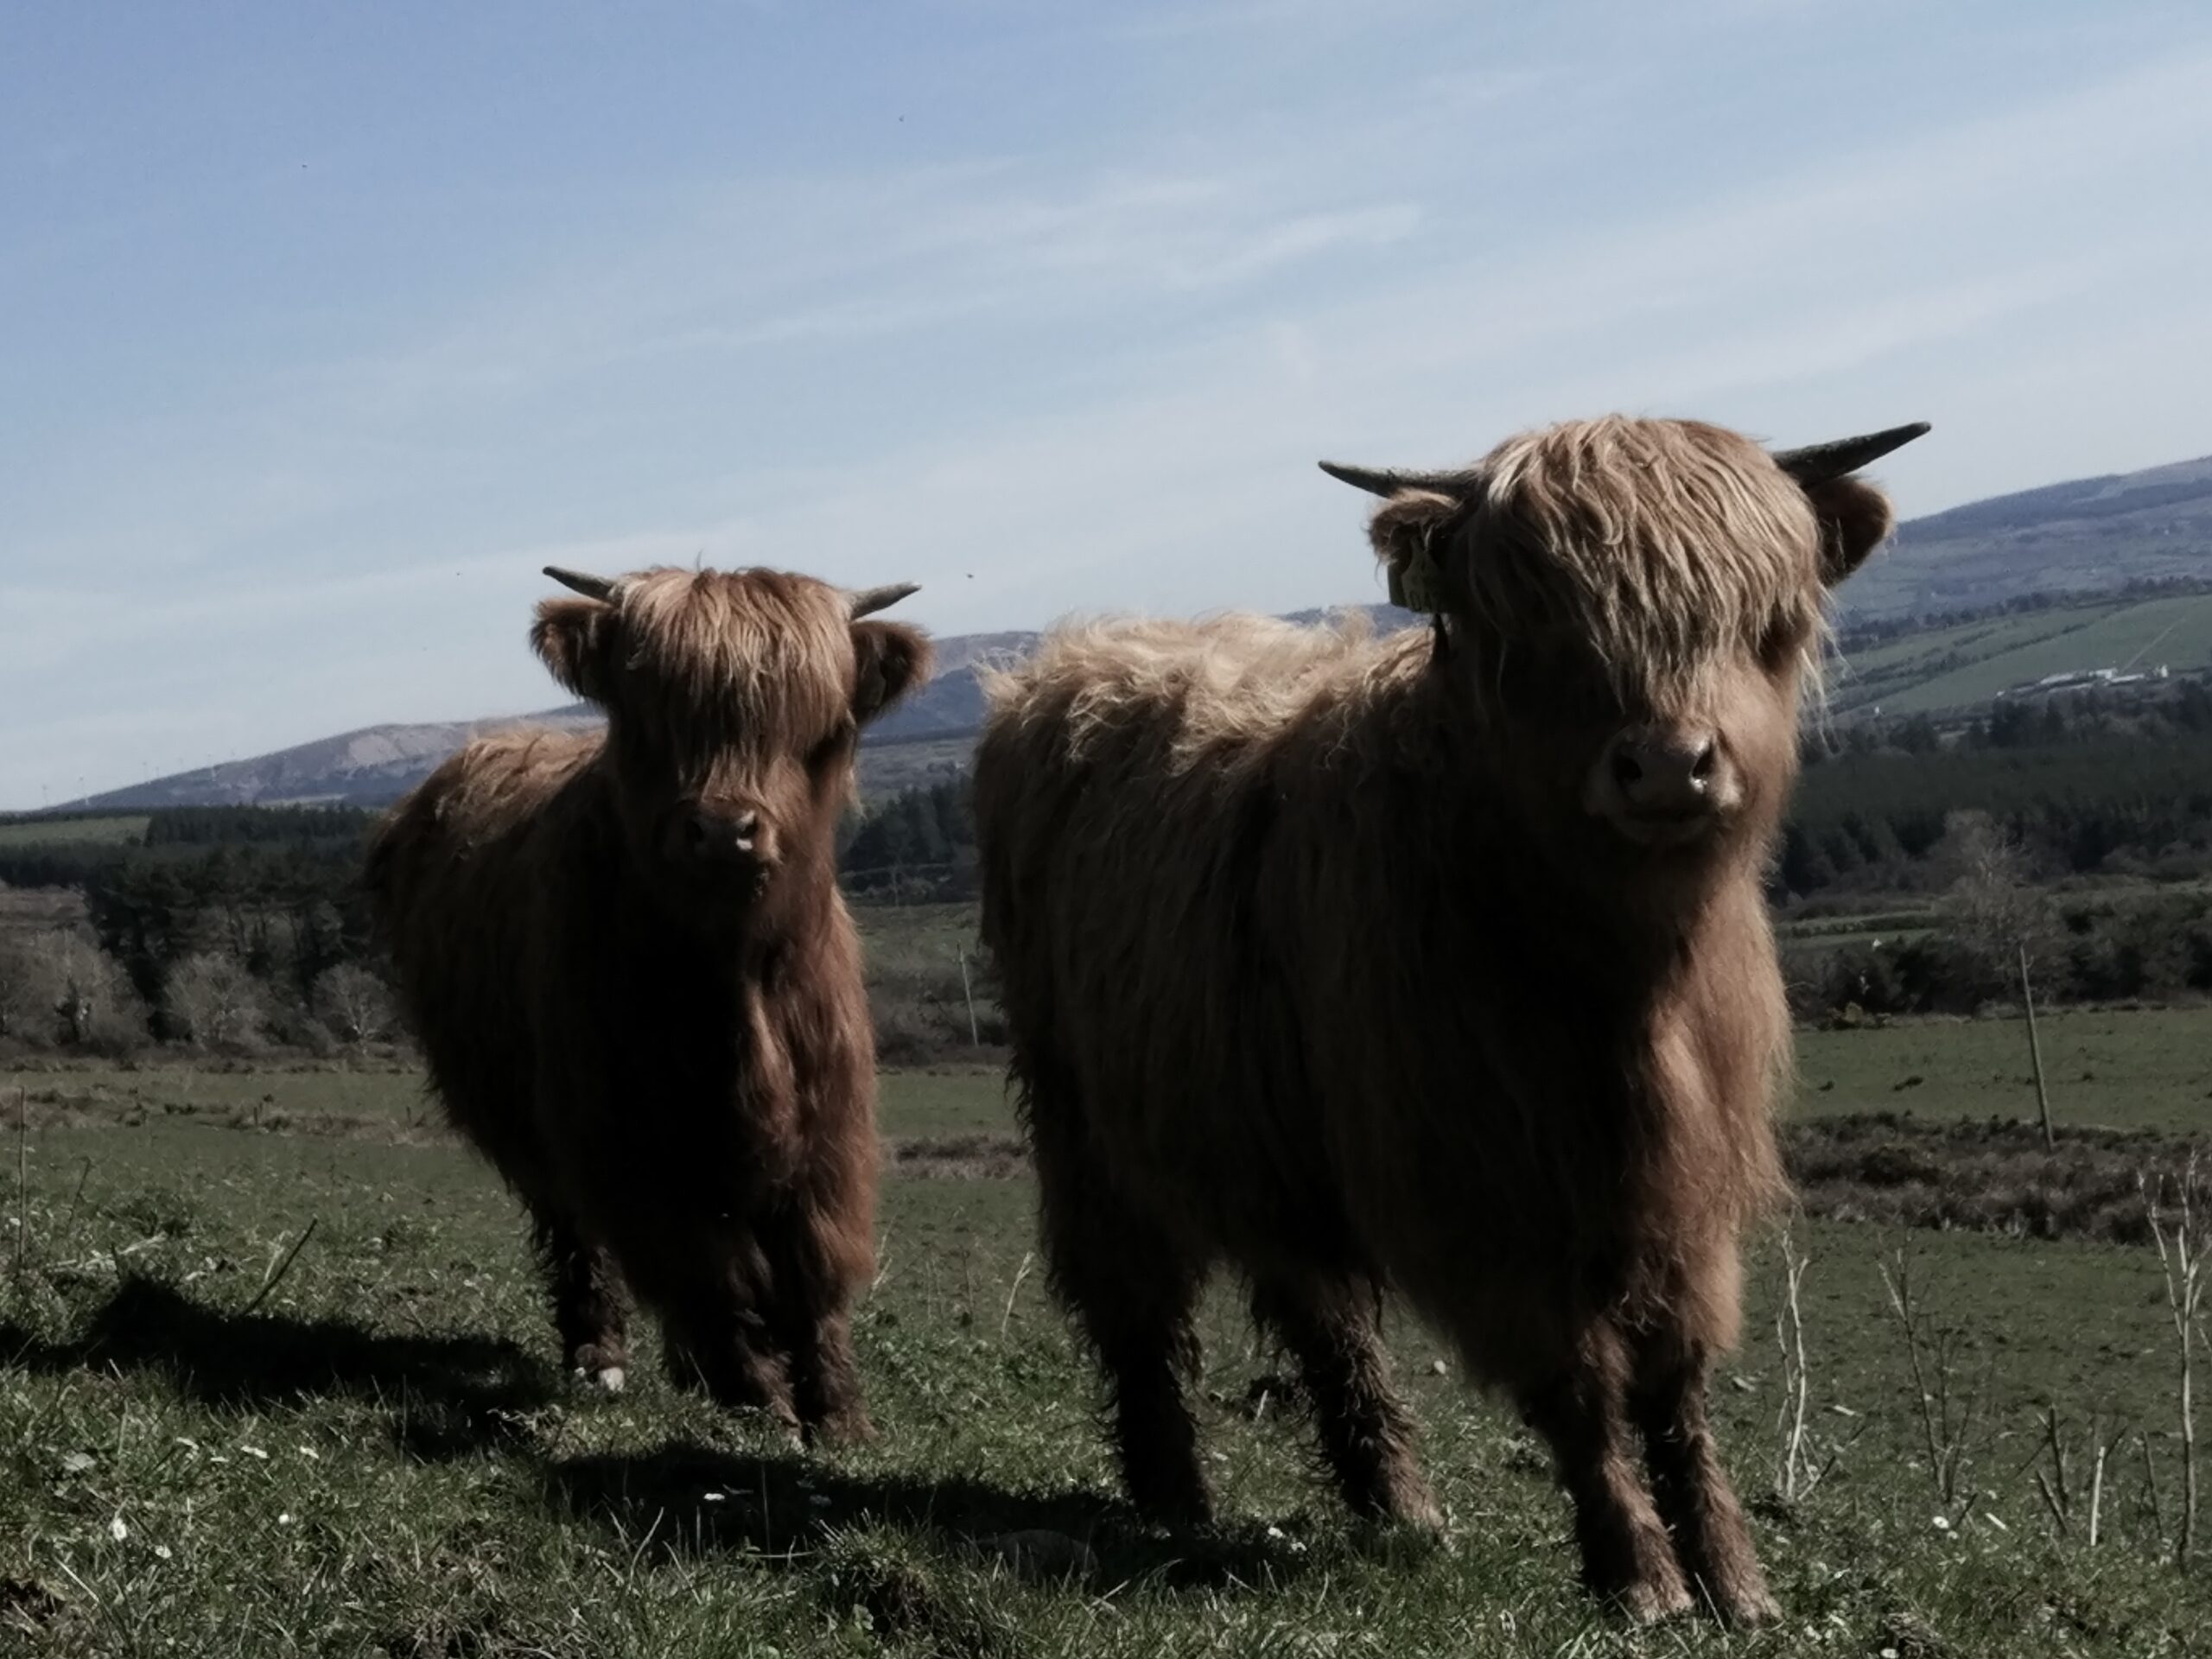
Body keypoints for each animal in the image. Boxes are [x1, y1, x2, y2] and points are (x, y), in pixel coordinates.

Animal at [366, 566, 919, 1451]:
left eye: (810, 720)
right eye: (649, 715)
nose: (723, 830)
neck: (731, 978)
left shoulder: (827, 1125)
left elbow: (813, 1266)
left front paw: (839, 1414)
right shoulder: (627, 1134)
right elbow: (707, 1270)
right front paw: (759, 1396)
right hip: (533, 1126)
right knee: (576, 1234)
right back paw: (600, 1351)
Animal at [977, 416, 1929, 1628]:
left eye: (1756, 615)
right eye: (1533, 620)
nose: (1668, 765)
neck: (1612, 980)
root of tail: (1075, 656)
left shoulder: (1685, 1184)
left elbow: (1675, 1379)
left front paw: (1733, 1576)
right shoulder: (1481, 1193)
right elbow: (1578, 1382)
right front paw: (1638, 1575)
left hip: (1273, 1137)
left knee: (1322, 1313)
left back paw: (1395, 1502)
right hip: (1081, 1117)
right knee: (1132, 1303)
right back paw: (1172, 1493)